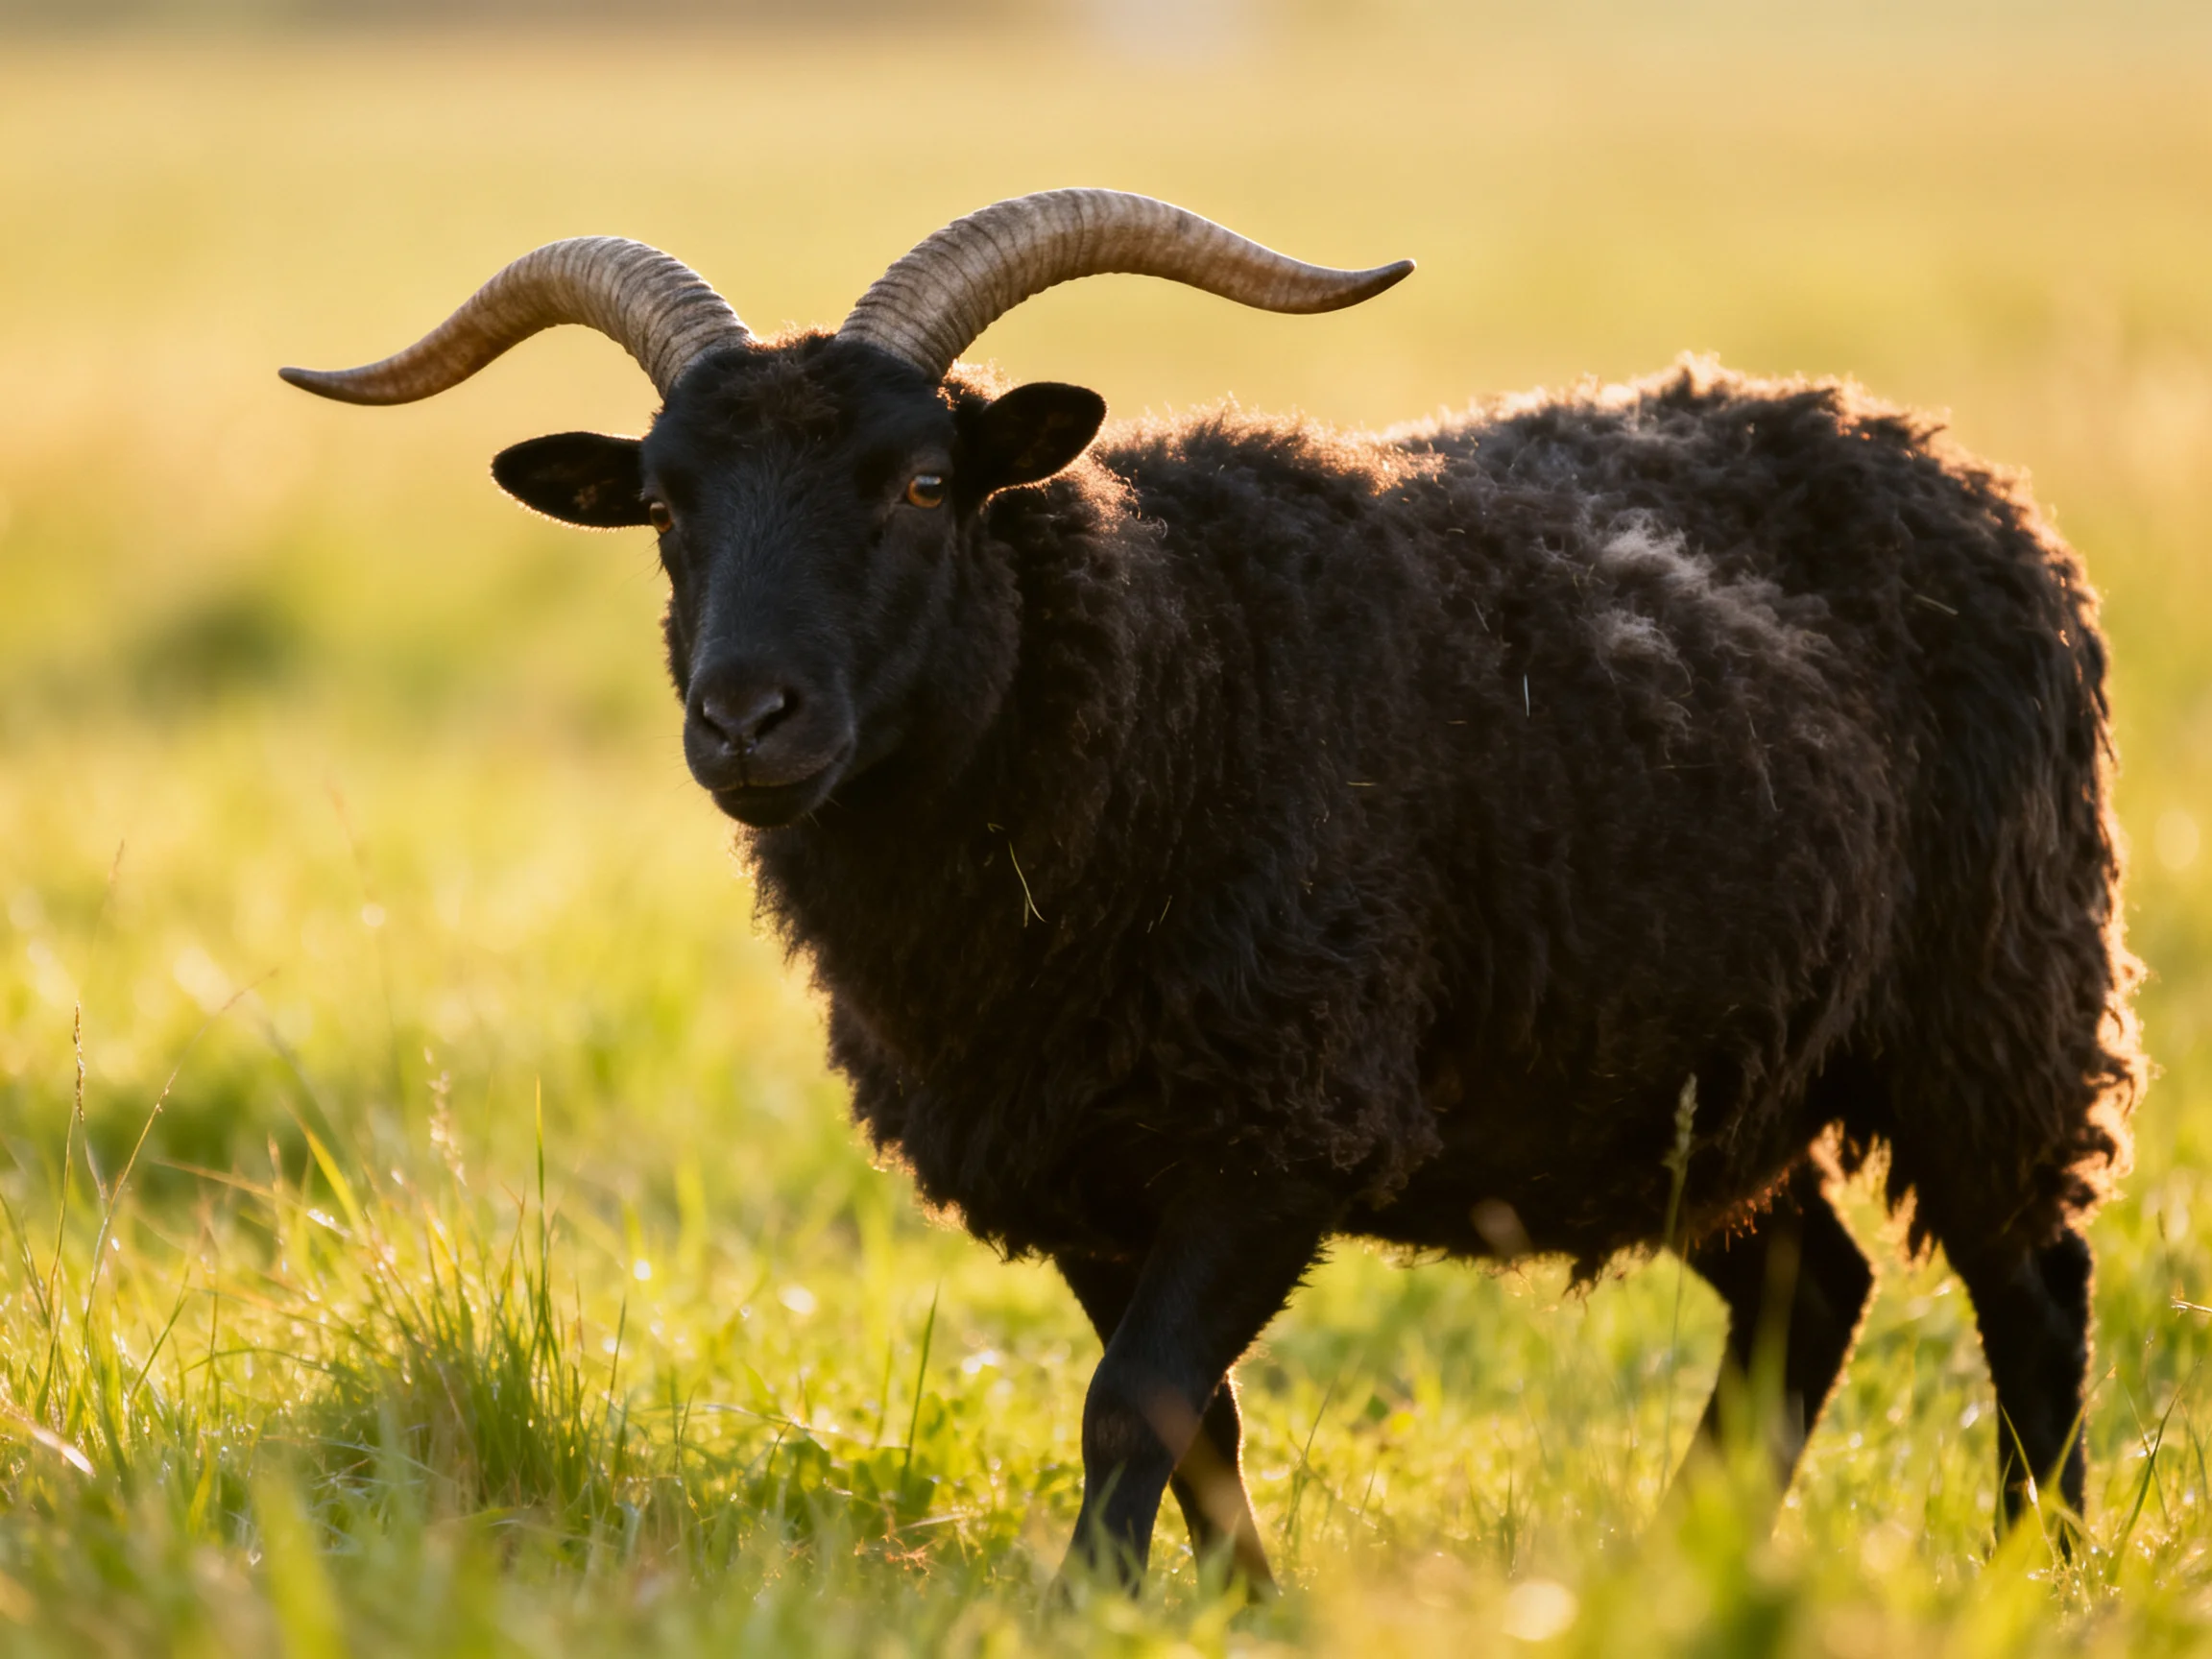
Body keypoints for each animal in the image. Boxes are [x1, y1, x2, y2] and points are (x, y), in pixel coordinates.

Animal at [284, 189, 2143, 1587]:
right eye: (664, 505)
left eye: (923, 482)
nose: (748, 717)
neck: (1153, 677)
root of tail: (1946, 463)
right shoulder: (1075, 1164)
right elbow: (1193, 1417)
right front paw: (1245, 1610)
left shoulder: (1279, 1131)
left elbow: (1136, 1405)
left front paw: (1082, 1611)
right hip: (1695, 1084)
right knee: (1805, 1292)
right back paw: (1673, 1565)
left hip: (2000, 992)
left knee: (2029, 1286)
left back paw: (2029, 1575)